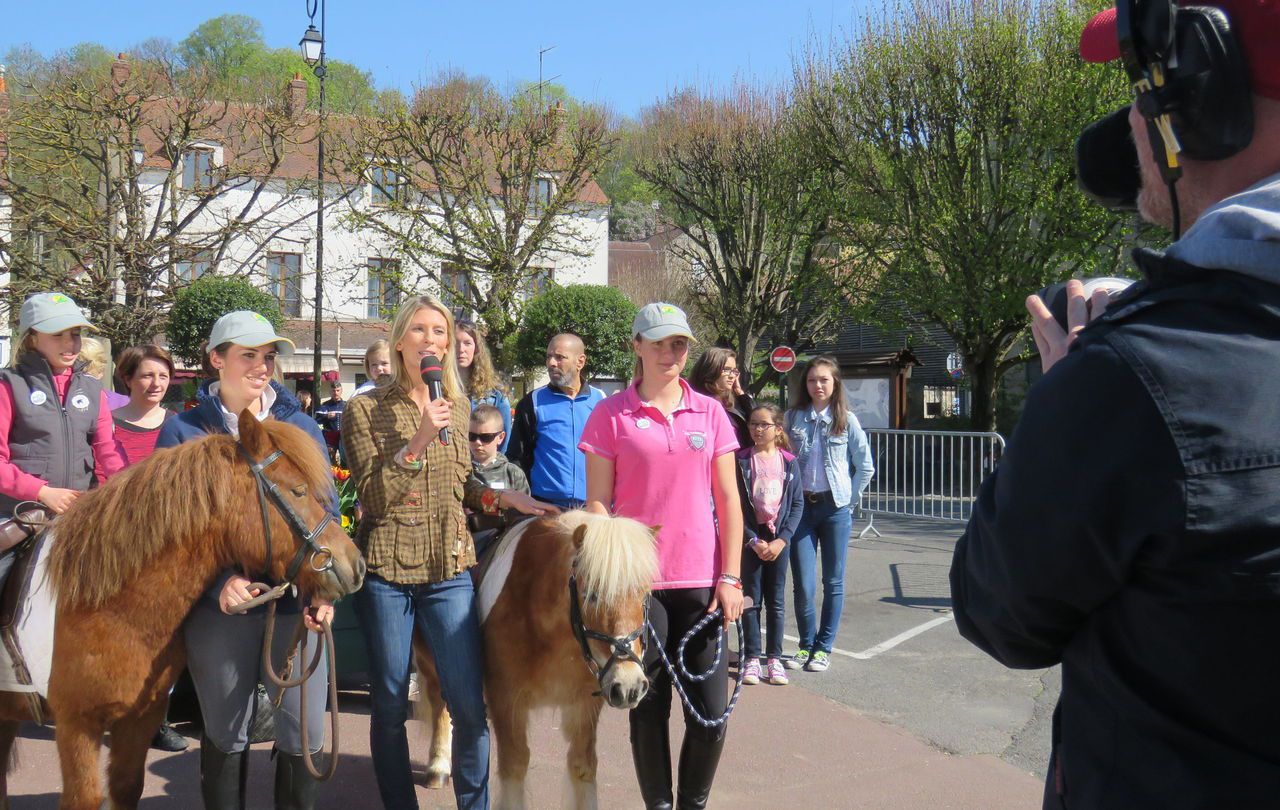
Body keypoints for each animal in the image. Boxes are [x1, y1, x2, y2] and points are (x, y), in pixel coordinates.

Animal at [0, 409, 368, 808]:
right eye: (298, 490)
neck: (104, 608)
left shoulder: (139, 719)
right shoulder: (76, 725)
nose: (356, 566)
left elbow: (127, 787)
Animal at [417, 511, 660, 808]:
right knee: (439, 702)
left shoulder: (584, 705)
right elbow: (515, 766)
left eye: (644, 594)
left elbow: (583, 766)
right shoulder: (506, 701)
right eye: (591, 594)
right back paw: (439, 766)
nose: (629, 686)